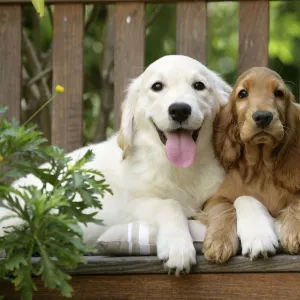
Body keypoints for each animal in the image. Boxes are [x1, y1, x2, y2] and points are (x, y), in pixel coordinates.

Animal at [0, 55, 231, 274]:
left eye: (199, 85)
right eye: (157, 86)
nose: (180, 110)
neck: (182, 170)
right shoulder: (132, 204)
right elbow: (169, 204)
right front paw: (178, 248)